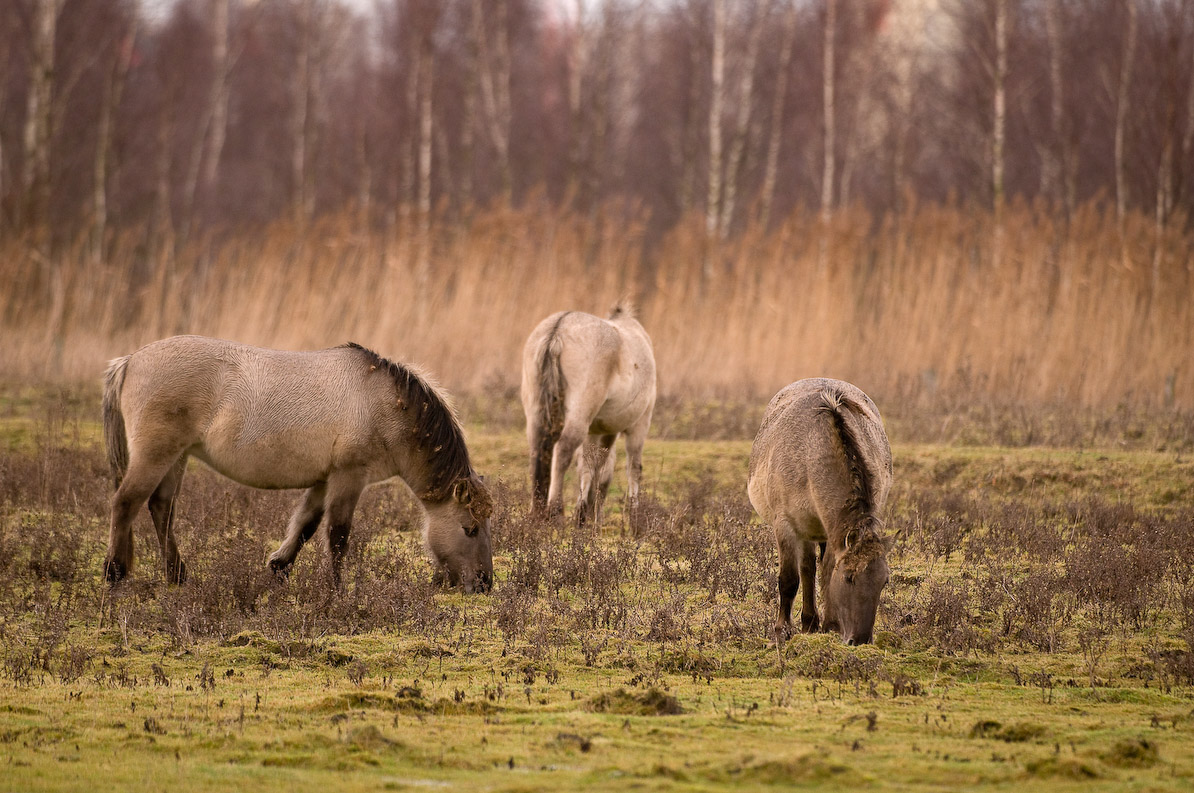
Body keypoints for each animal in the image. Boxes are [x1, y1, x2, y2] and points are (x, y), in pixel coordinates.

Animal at [102, 336, 491, 592]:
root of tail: (131, 360)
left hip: (177, 456)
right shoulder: (349, 476)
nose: (485, 584)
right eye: (469, 529)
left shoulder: (324, 479)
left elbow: (306, 524)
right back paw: (115, 573)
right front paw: (336, 589)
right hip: (156, 454)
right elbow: (337, 534)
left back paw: (177, 576)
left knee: (161, 507)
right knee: (126, 503)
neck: (383, 403)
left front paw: (280, 566)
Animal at [520, 303, 659, 525]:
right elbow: (631, 468)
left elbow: (589, 466)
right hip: (579, 415)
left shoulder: (598, 430)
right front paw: (633, 518)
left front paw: (583, 513)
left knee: (538, 453)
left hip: (537, 416)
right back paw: (555, 510)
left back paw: (538, 513)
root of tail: (558, 329)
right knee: (563, 450)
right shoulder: (637, 425)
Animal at [749, 377, 893, 644]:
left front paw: (829, 625)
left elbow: (825, 573)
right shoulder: (785, 525)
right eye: (849, 577)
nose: (860, 640)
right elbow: (789, 580)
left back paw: (812, 622)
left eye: (884, 581)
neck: (811, 452)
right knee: (806, 568)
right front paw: (781, 632)